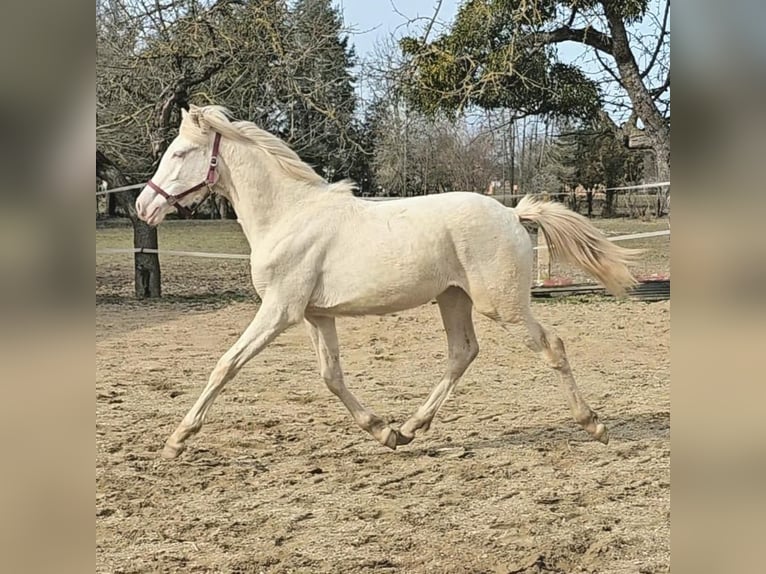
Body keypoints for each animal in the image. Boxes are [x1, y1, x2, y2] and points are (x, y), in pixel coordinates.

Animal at [135, 106, 640, 462]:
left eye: (179, 153)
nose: (143, 206)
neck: (289, 215)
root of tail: (513, 213)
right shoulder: (315, 315)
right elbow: (332, 376)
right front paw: (383, 431)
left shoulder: (280, 310)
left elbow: (225, 365)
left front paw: (176, 441)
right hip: (452, 299)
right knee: (462, 353)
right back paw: (411, 428)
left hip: (502, 305)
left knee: (551, 346)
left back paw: (594, 425)